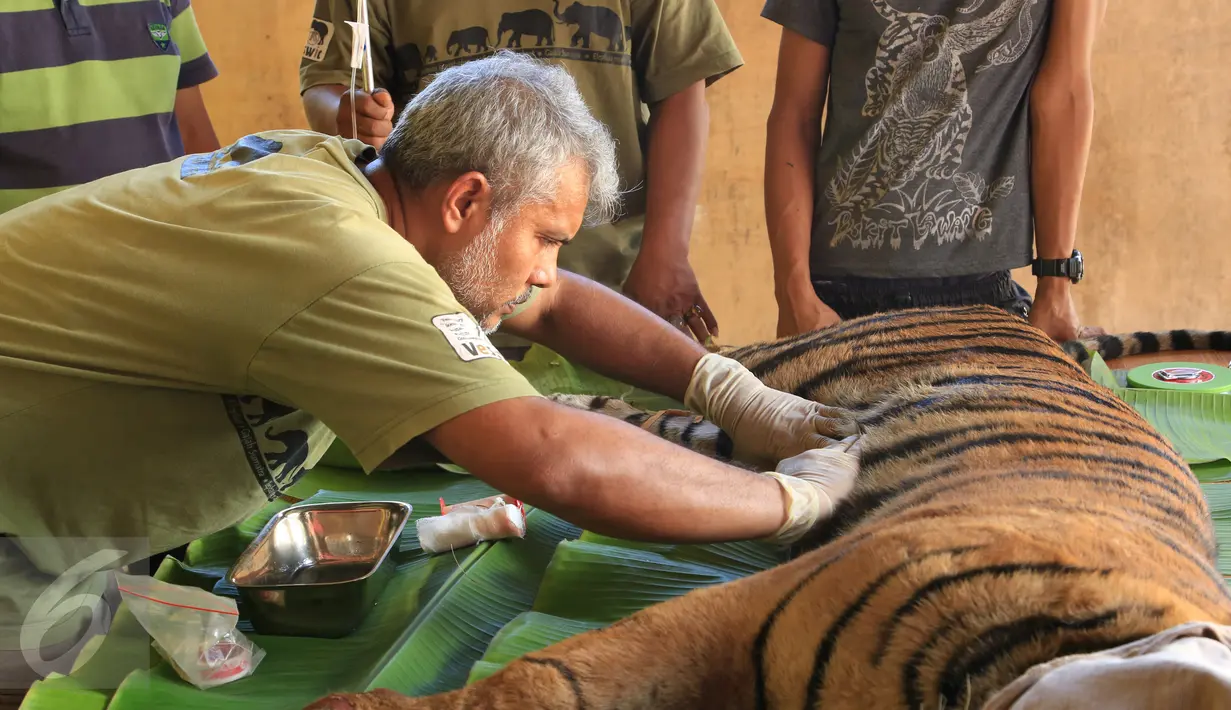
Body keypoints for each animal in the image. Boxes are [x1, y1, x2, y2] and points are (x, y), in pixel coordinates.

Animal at [310, 305, 1231, 708]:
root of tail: (1032, 326)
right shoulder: (738, 609)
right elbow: (542, 676)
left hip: (722, 438)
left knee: (631, 422)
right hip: (793, 358)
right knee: (683, 360)